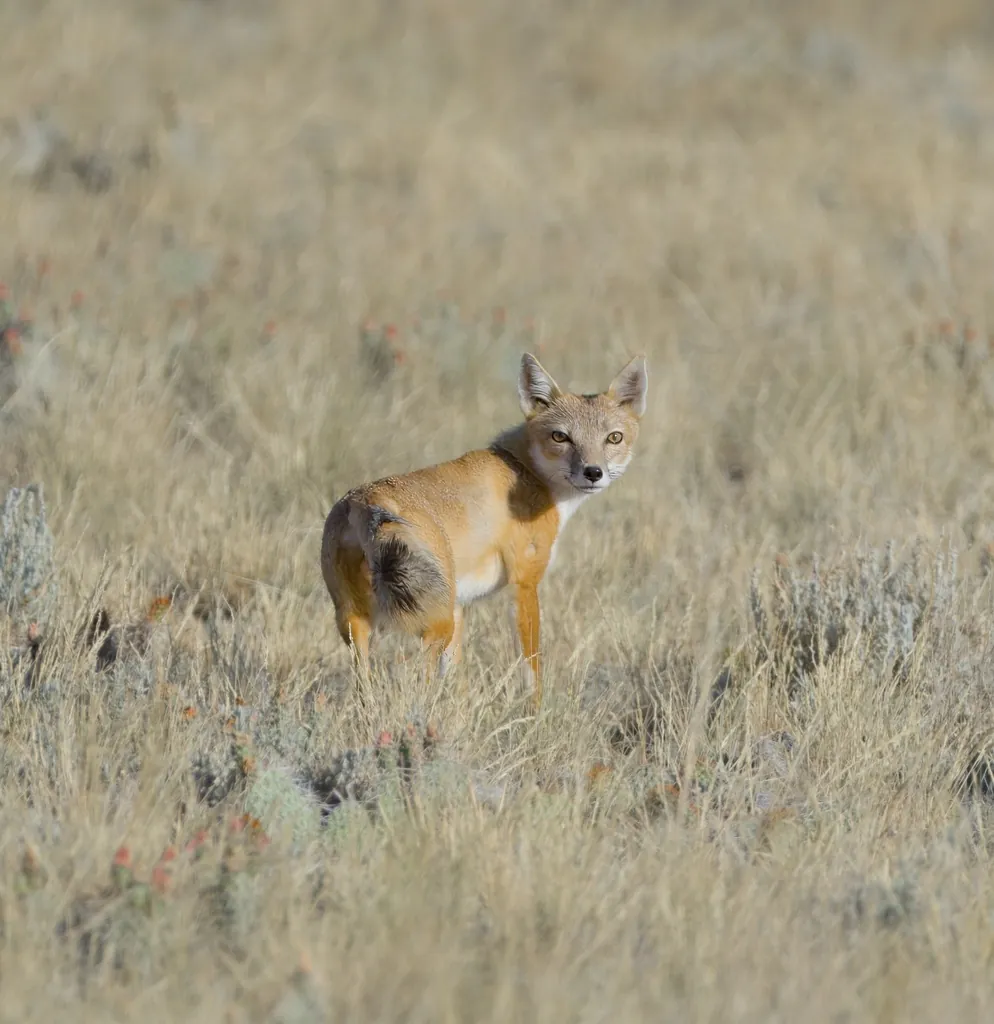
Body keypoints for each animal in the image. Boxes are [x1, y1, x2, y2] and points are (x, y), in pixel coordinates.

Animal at [320, 351, 648, 708]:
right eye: (560, 437)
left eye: (613, 438)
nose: (593, 472)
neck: (526, 471)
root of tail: (363, 502)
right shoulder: (524, 584)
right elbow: (532, 670)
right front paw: (535, 715)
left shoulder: (460, 607)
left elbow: (455, 680)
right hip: (433, 624)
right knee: (418, 684)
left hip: (359, 625)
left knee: (365, 690)